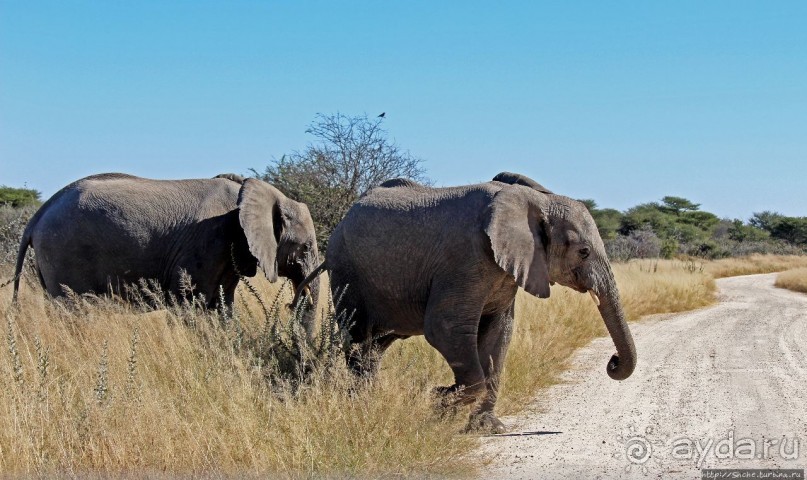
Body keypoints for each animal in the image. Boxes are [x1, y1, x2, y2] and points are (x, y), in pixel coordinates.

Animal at [12, 173, 320, 330]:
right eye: (305, 248)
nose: (290, 304)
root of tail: (37, 216)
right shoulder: (209, 242)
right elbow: (189, 301)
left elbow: (223, 305)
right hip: (63, 254)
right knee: (74, 309)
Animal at [294, 172, 636, 436]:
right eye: (583, 252)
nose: (612, 361)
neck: (533, 199)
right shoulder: (465, 261)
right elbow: (445, 329)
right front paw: (436, 400)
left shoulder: (505, 273)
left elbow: (499, 334)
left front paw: (486, 428)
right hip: (346, 270)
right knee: (356, 338)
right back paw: (363, 407)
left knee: (374, 346)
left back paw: (372, 401)